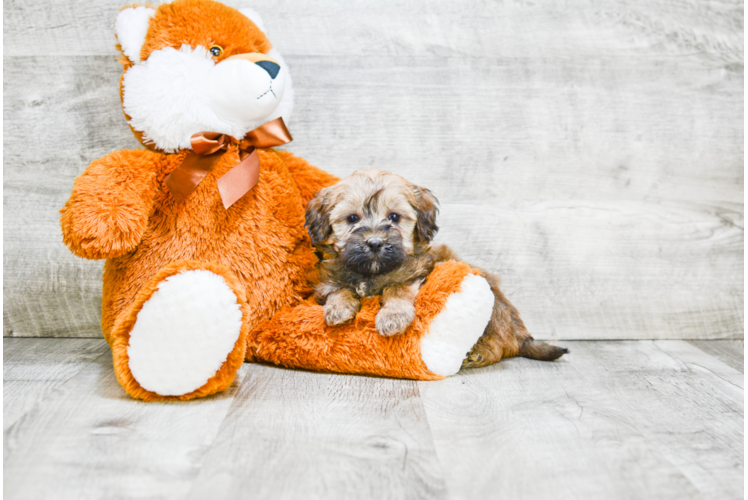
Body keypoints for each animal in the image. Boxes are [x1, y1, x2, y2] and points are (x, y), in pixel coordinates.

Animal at [304, 169, 568, 368]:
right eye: (352, 218)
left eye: (394, 217)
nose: (375, 243)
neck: (371, 273)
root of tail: (518, 331)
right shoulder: (326, 281)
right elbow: (339, 289)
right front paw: (338, 309)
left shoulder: (416, 272)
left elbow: (396, 288)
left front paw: (393, 317)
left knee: (498, 348)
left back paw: (478, 355)